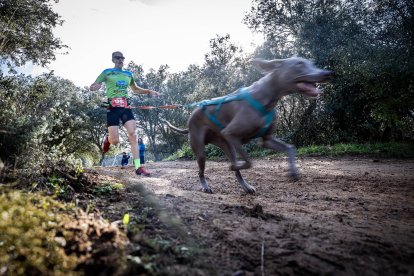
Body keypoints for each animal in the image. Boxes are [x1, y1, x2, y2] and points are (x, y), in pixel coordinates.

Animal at [165, 57, 334, 193]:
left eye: (311, 63)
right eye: (299, 64)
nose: (327, 73)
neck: (266, 98)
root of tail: (191, 117)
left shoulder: (266, 140)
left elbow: (290, 148)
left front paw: (293, 172)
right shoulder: (231, 134)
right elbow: (249, 162)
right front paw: (234, 166)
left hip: (228, 146)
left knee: (236, 170)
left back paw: (246, 186)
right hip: (202, 150)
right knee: (201, 171)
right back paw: (206, 186)